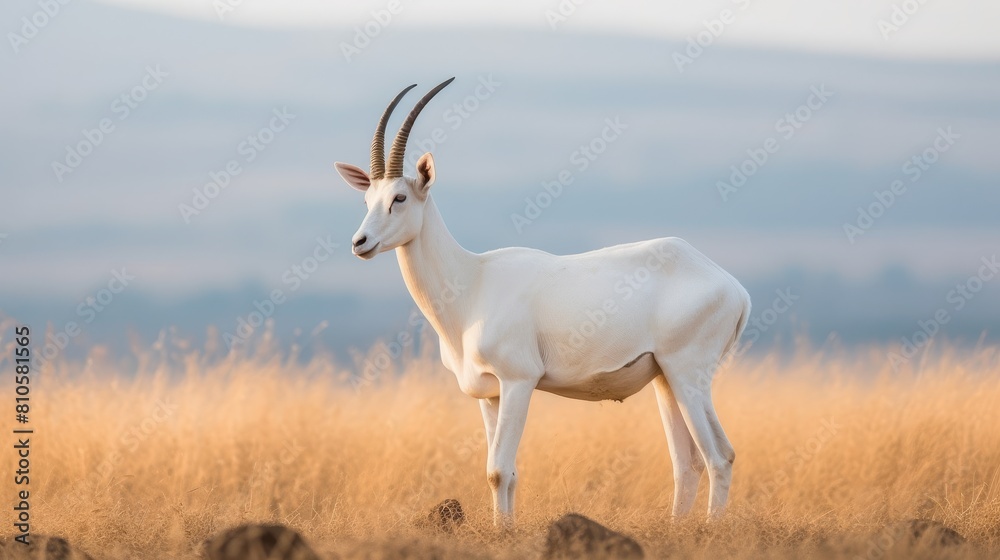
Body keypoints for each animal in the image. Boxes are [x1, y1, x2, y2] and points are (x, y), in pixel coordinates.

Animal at [335, 78, 752, 526]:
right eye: (367, 200)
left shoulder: (519, 382)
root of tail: (734, 288)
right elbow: (502, 472)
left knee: (720, 455)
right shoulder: (490, 394)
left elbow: (499, 470)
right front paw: (503, 528)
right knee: (686, 463)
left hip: (688, 374)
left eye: (400, 198)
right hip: (664, 380)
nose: (360, 243)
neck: (473, 281)